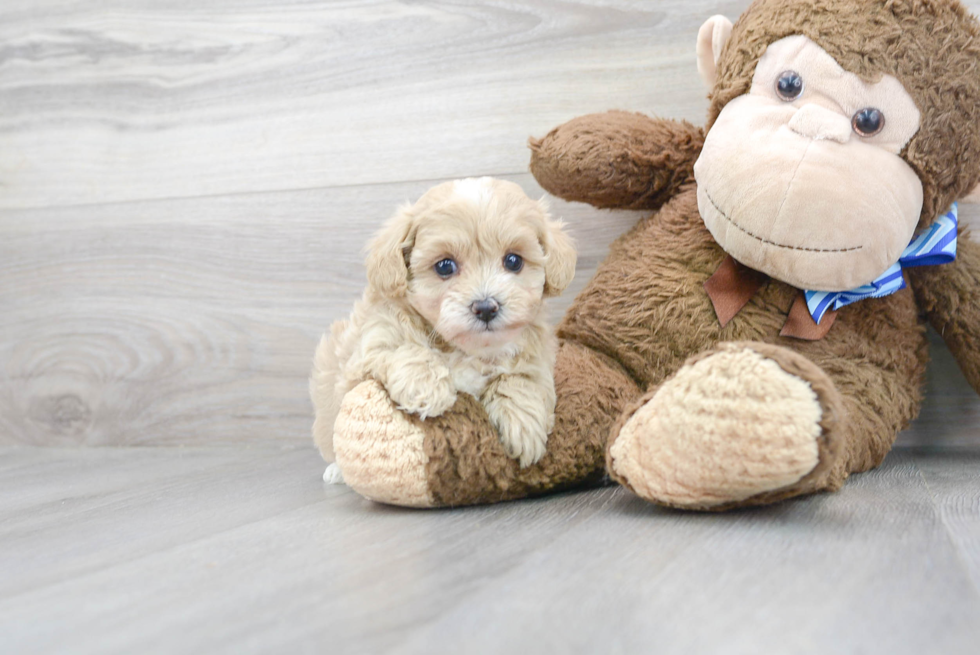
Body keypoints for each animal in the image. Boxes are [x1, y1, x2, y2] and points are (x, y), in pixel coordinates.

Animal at [310, 177, 580, 484]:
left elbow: (519, 379)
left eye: (514, 261)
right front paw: (426, 387)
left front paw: (522, 424)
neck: (463, 349)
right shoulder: (370, 344)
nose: (485, 307)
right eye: (444, 266)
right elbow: (401, 347)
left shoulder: (534, 356)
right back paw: (335, 472)